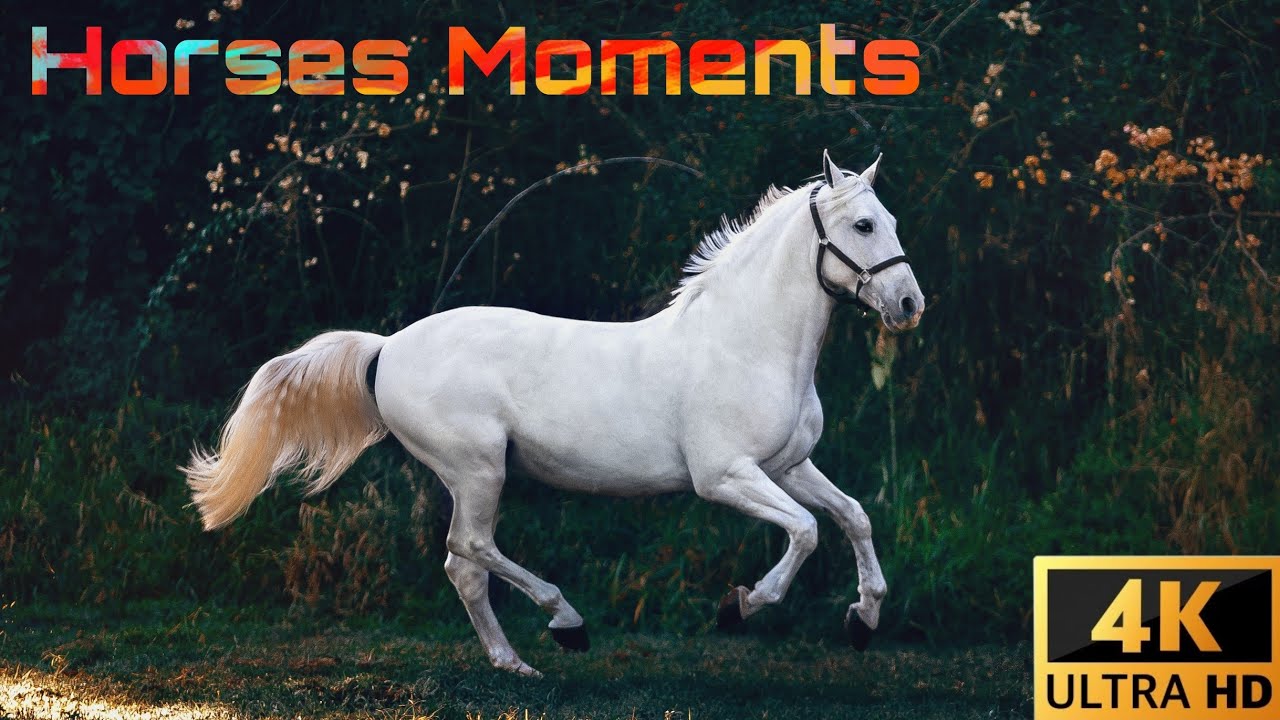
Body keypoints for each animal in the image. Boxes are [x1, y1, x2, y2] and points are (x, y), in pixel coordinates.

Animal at [183, 150, 924, 677]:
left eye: (892, 222)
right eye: (863, 225)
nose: (909, 304)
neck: (746, 343)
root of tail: (386, 347)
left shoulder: (790, 466)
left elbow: (852, 516)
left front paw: (863, 619)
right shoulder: (726, 477)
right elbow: (805, 531)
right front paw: (740, 606)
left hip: (474, 476)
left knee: (462, 566)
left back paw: (515, 663)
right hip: (478, 469)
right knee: (470, 549)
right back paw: (565, 623)